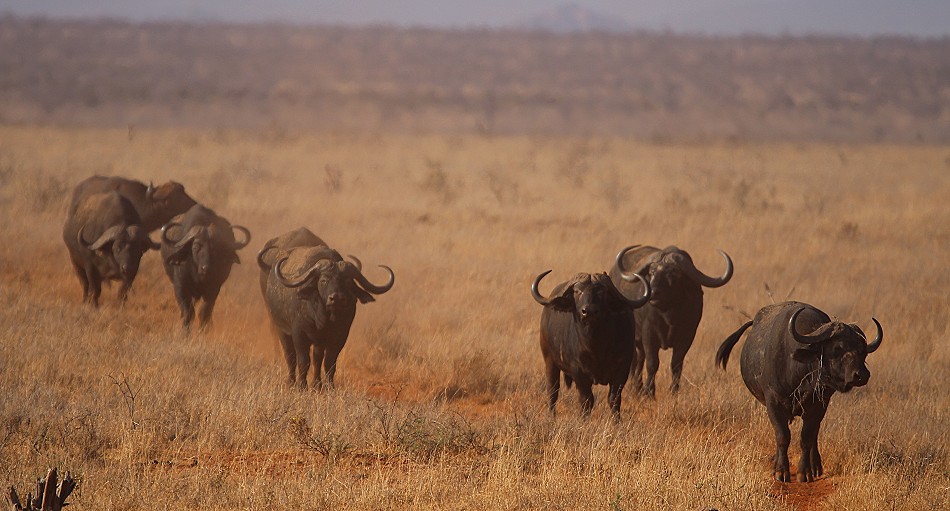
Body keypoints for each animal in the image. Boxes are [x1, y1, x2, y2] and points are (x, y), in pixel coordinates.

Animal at [260, 243, 394, 388]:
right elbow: (303, 361)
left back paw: (317, 384)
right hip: (281, 329)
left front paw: (329, 386)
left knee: (317, 359)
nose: (337, 298)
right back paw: (291, 382)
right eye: (323, 280)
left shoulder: (340, 336)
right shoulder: (299, 334)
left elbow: (329, 362)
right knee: (290, 356)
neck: (323, 319)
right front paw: (302, 386)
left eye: (347, 281)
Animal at [536, 253, 656, 424]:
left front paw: (616, 422)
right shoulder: (578, 372)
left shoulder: (622, 369)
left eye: (602, 292)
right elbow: (586, 399)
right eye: (577, 291)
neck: (596, 346)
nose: (589, 311)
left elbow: (614, 398)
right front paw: (584, 421)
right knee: (553, 391)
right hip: (549, 361)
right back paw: (551, 416)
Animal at [608, 245, 736, 400]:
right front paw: (649, 392)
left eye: (673, 272)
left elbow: (676, 364)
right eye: (651, 271)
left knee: (639, 360)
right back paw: (635, 390)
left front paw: (673, 391)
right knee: (634, 361)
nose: (653, 292)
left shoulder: (687, 337)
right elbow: (652, 363)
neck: (669, 315)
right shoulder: (649, 334)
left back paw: (637, 389)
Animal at [716, 304, 888, 484]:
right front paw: (781, 471)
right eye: (837, 348)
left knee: (814, 435)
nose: (861, 375)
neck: (800, 374)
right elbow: (782, 436)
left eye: (862, 350)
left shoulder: (818, 406)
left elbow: (806, 438)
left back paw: (815, 467)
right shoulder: (773, 404)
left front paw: (804, 472)